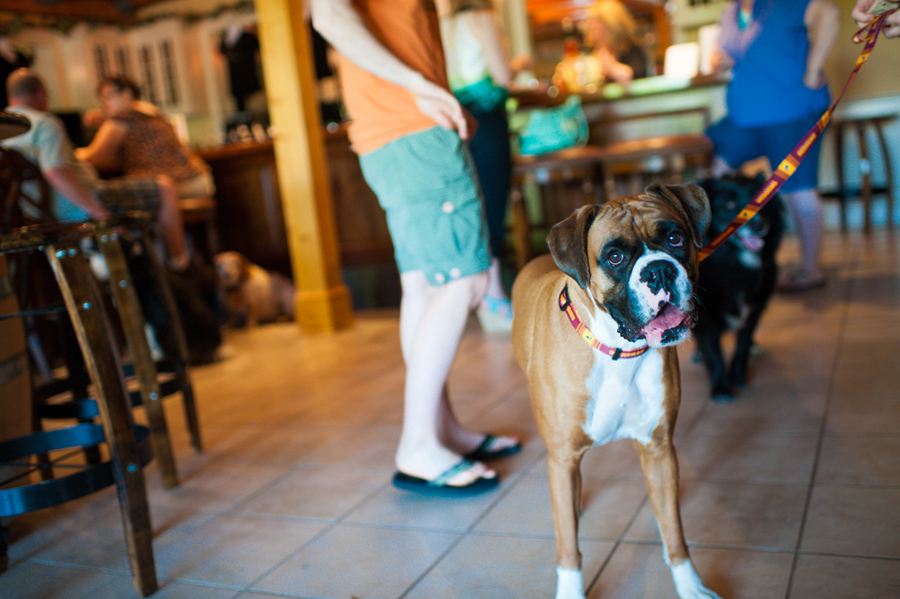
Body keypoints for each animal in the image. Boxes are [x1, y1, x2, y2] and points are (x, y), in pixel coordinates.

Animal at [512, 184, 724, 599]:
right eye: (614, 257)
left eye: (674, 238)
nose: (658, 270)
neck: (616, 351)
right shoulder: (562, 457)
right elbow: (568, 547)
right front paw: (571, 591)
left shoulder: (658, 450)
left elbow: (674, 530)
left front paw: (689, 585)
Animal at [692, 176, 784, 406]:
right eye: (729, 205)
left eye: (762, 202)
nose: (759, 225)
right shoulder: (705, 320)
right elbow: (713, 354)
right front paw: (721, 388)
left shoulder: (754, 309)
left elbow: (741, 346)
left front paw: (739, 377)